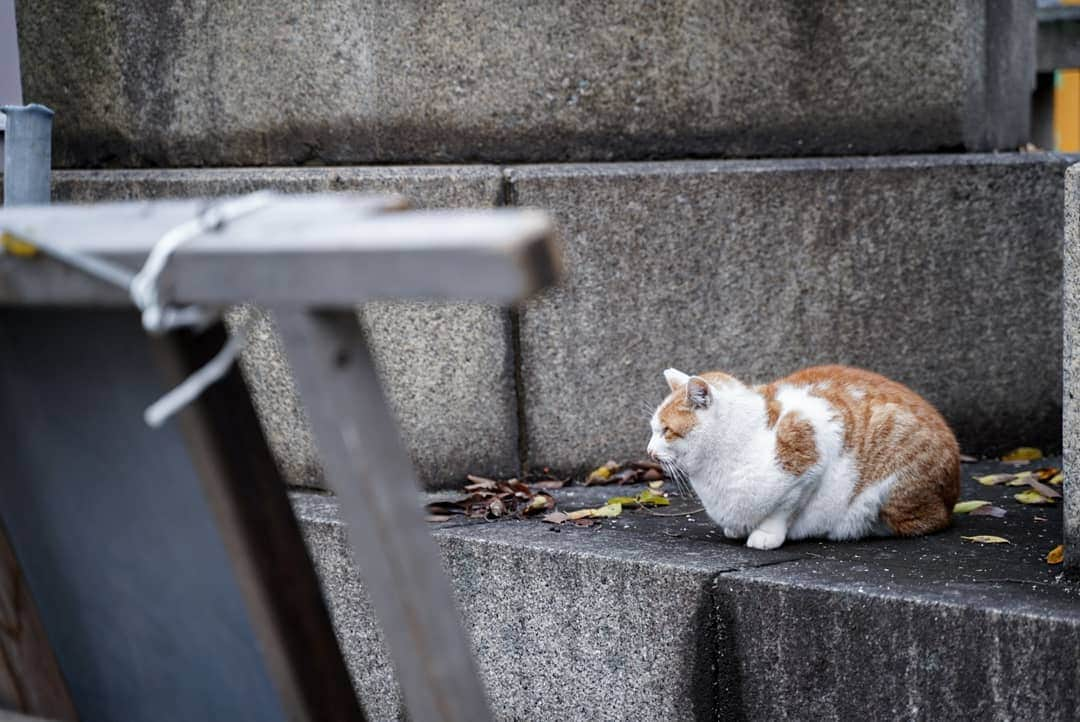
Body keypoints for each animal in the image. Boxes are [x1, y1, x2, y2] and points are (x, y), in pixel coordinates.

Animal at [648, 362, 963, 548]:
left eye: (666, 431)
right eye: (652, 429)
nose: (649, 451)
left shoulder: (810, 457)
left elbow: (783, 509)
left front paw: (765, 535)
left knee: (924, 521)